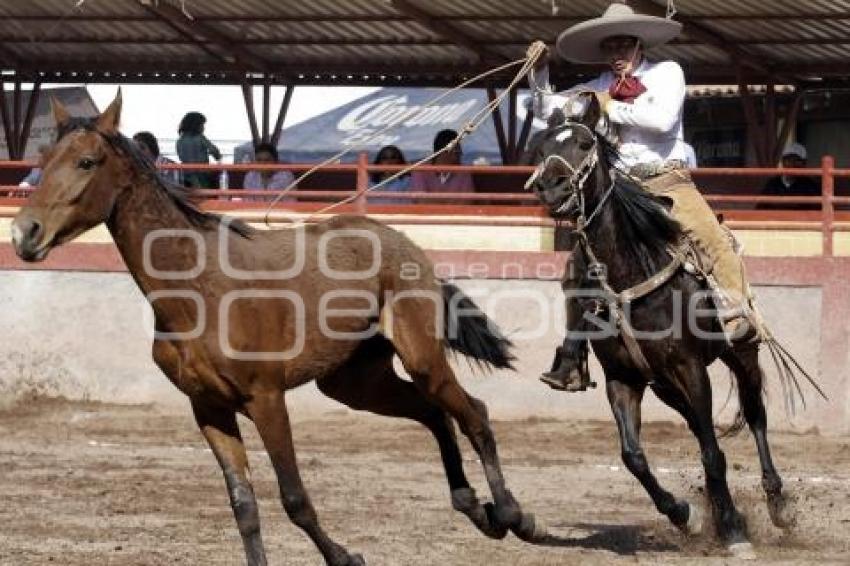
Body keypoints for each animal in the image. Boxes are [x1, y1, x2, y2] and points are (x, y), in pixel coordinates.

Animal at [9, 91, 540, 564]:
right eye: (45, 158)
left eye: (87, 161)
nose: (23, 233)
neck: (198, 289)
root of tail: (407, 247)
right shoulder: (209, 409)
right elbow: (243, 507)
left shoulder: (266, 399)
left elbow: (294, 498)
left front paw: (346, 557)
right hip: (353, 383)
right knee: (433, 413)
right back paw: (474, 507)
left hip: (421, 358)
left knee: (474, 414)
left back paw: (514, 516)